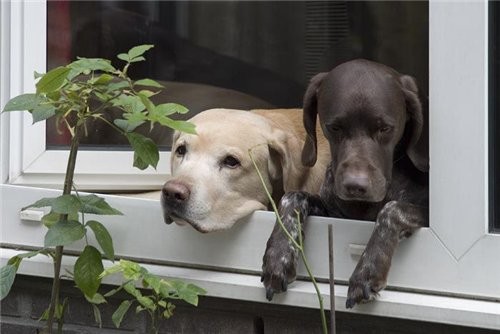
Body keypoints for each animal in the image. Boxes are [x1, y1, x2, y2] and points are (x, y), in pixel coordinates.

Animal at [260, 59, 428, 308]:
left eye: (385, 128)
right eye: (334, 127)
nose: (355, 186)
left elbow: (391, 210)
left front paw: (367, 270)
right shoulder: (333, 211)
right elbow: (292, 197)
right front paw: (279, 255)